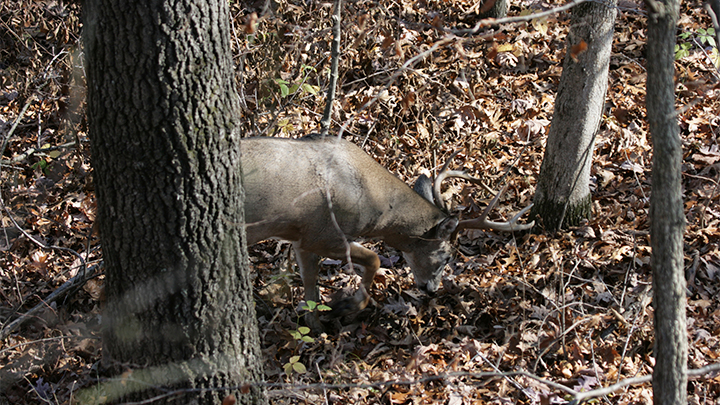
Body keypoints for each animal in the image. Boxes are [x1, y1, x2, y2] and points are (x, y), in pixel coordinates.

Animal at [242, 136, 528, 326]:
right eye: (448, 256)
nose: (432, 289)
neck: (373, 201)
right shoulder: (324, 235)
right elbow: (375, 258)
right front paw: (346, 305)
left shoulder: (301, 238)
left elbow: (310, 284)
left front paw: (316, 326)